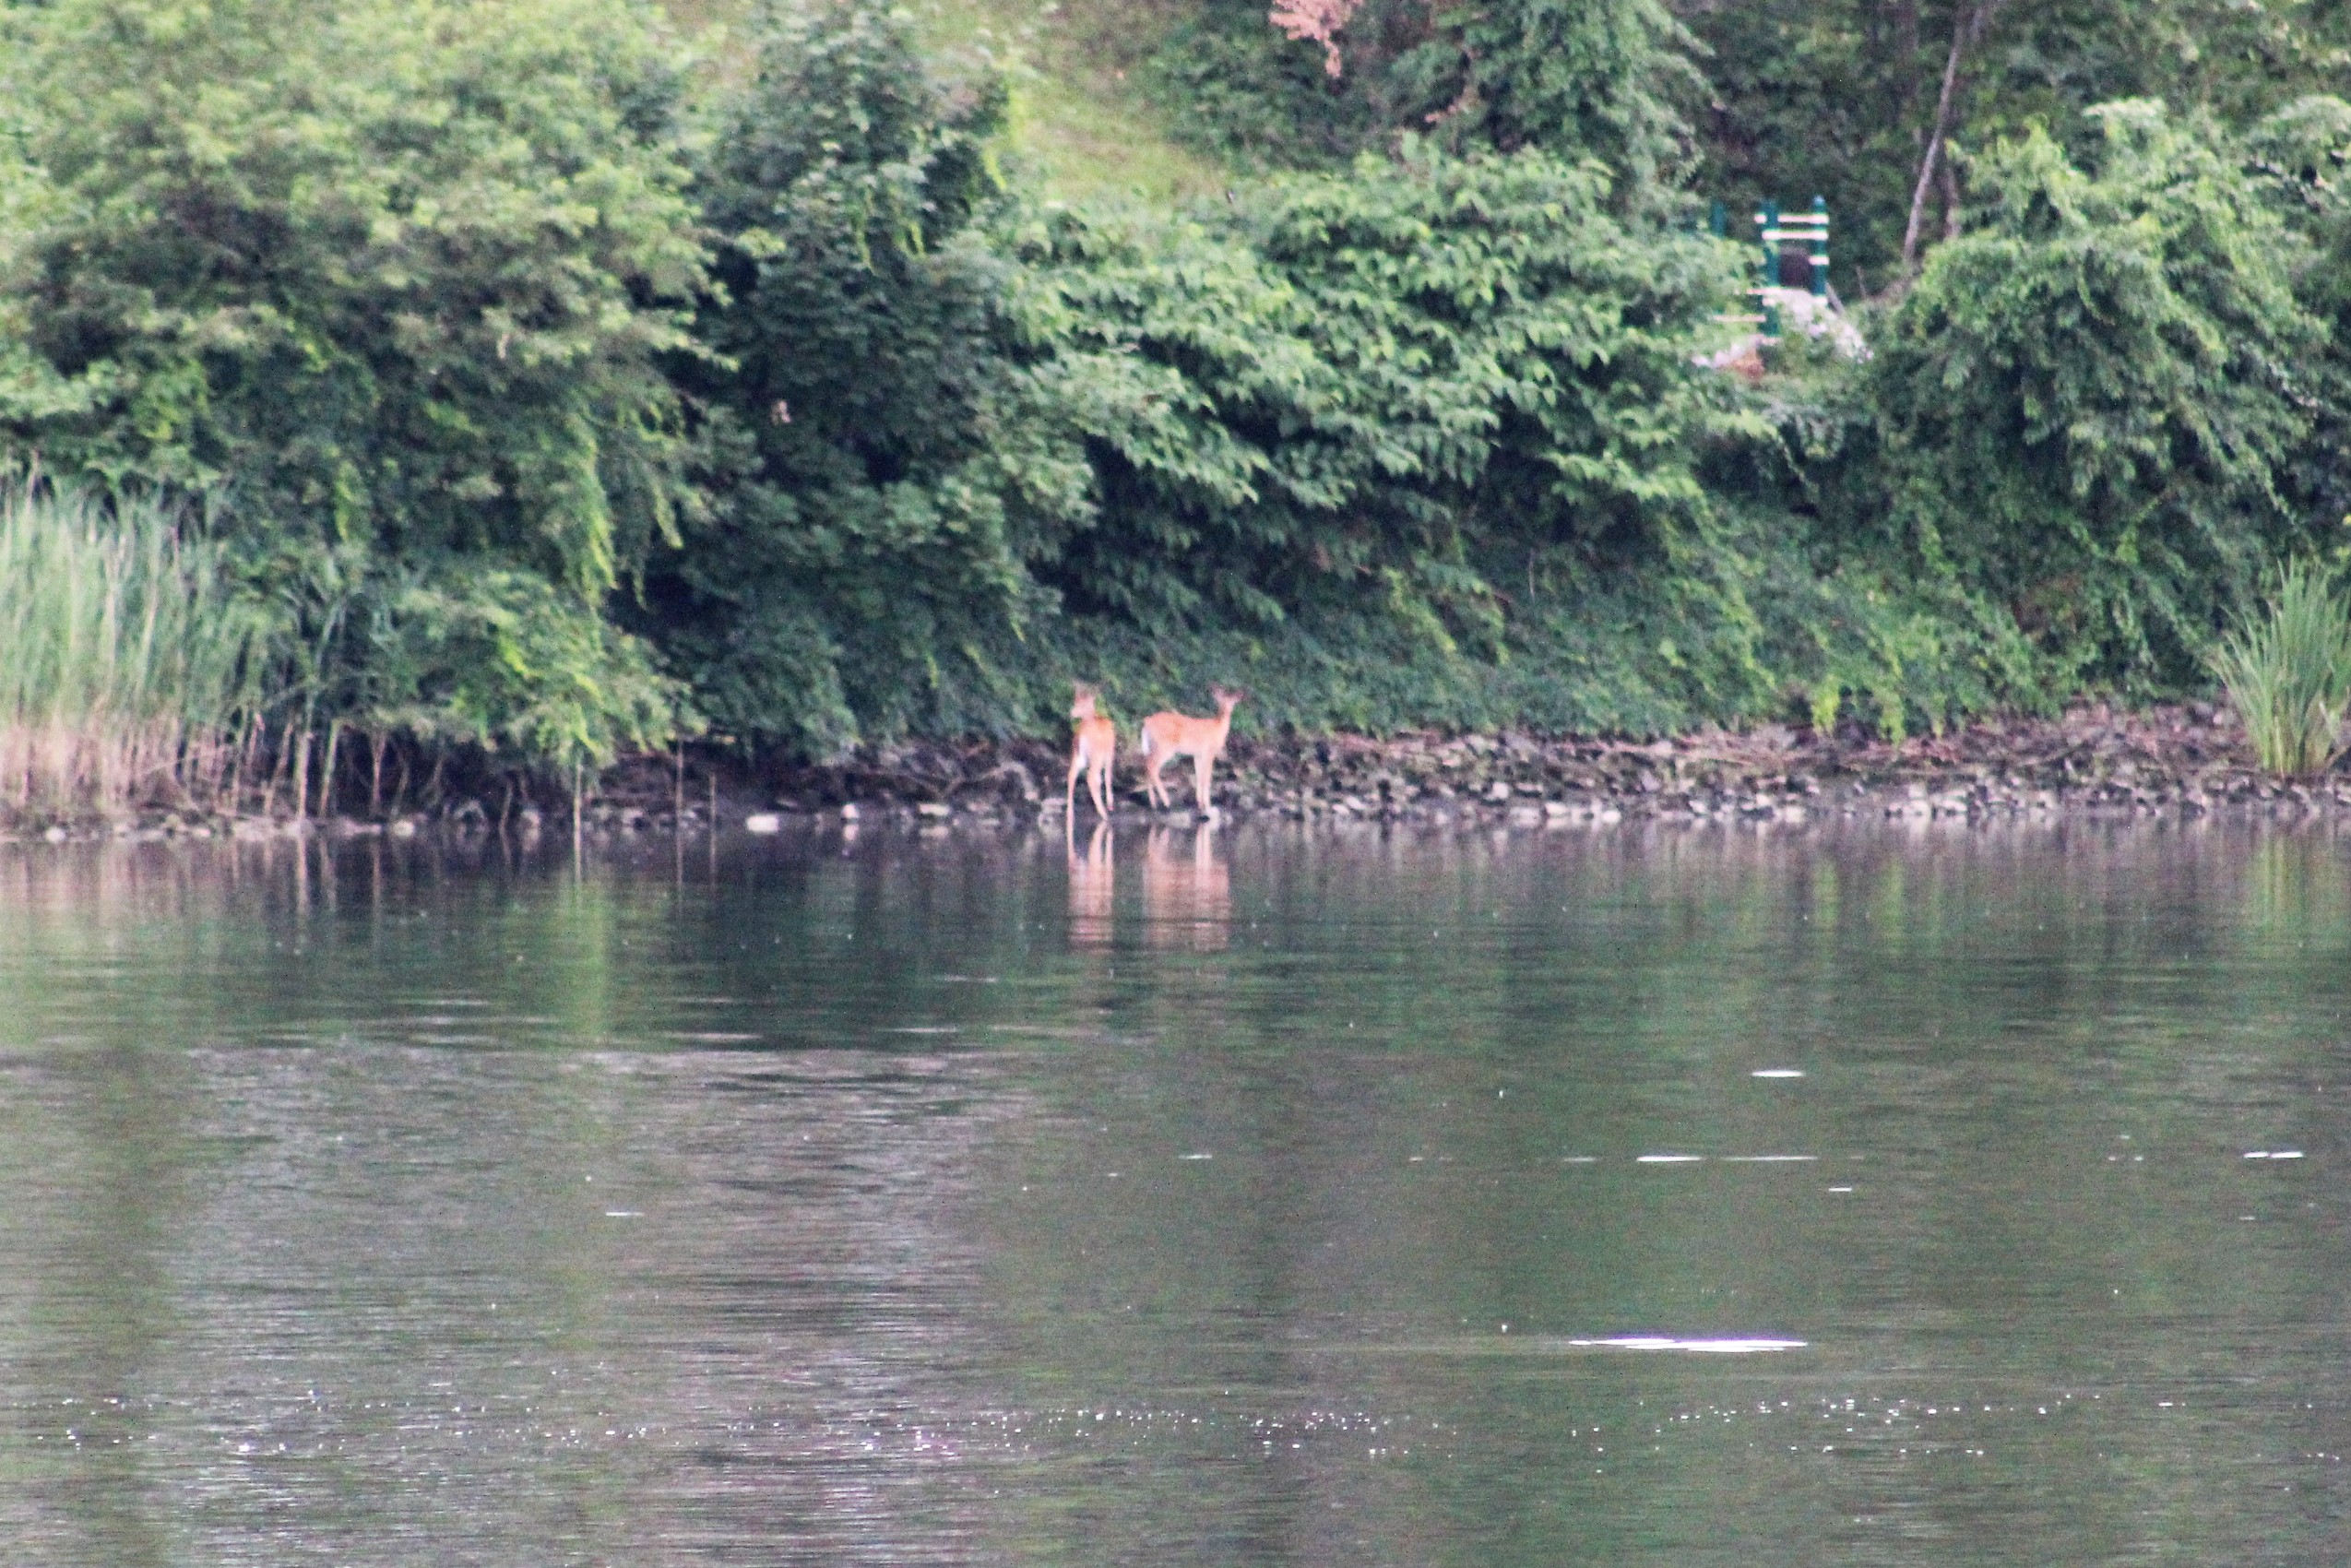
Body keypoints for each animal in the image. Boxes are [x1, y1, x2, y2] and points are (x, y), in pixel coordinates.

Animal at [1065, 682, 1117, 824]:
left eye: (1078, 702)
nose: (1071, 713)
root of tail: (1081, 734)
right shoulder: (1110, 753)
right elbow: (1108, 776)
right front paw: (1110, 803)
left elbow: (1100, 780)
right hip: (1096, 756)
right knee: (1090, 776)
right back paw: (1104, 813)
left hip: (1077, 755)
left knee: (1072, 774)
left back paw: (1070, 813)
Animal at [1138, 688, 1242, 817]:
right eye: (1221, 701)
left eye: (1232, 702)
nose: (1227, 710)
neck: (1218, 728)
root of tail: (1147, 722)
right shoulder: (1209, 751)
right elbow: (1207, 778)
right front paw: (1208, 806)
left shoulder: (1197, 754)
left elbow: (1198, 776)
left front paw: (1200, 804)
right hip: (1165, 746)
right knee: (1152, 766)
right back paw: (1166, 803)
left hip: (1153, 747)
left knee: (1146, 764)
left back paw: (1153, 804)